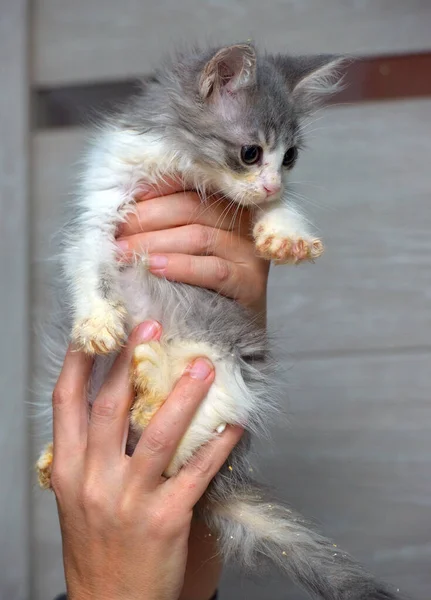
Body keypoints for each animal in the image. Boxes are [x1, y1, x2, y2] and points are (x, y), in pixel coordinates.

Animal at [36, 43, 402, 600]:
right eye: (251, 152)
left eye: (289, 158)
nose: (271, 179)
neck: (181, 163)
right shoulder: (101, 197)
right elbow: (86, 261)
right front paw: (97, 323)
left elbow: (278, 204)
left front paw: (286, 231)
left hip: (226, 367)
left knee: (187, 445)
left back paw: (151, 385)